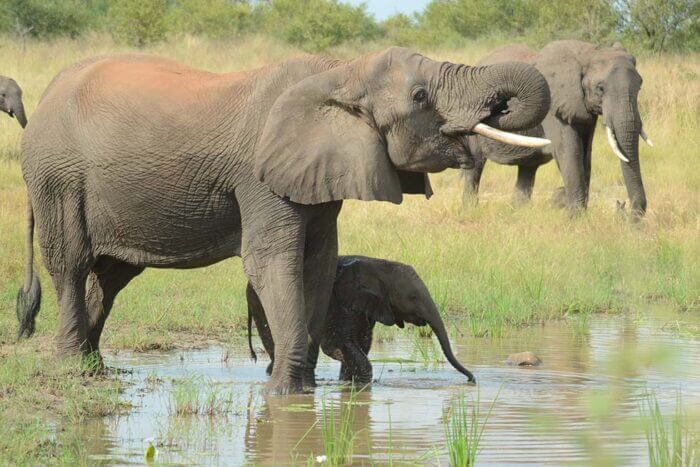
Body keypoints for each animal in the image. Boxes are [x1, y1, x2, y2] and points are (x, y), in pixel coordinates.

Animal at [247, 258, 476, 386]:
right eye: (412, 297)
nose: (471, 380)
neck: (379, 265)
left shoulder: (368, 308)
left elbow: (362, 345)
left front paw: (347, 381)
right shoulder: (340, 302)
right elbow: (338, 343)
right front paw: (360, 385)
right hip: (263, 305)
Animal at [464, 41, 652, 217]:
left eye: (640, 86)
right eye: (600, 88)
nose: (626, 211)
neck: (588, 55)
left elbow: (586, 154)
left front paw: (567, 204)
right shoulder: (552, 104)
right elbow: (569, 151)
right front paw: (575, 216)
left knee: (527, 168)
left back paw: (517, 212)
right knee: (475, 165)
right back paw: (470, 209)